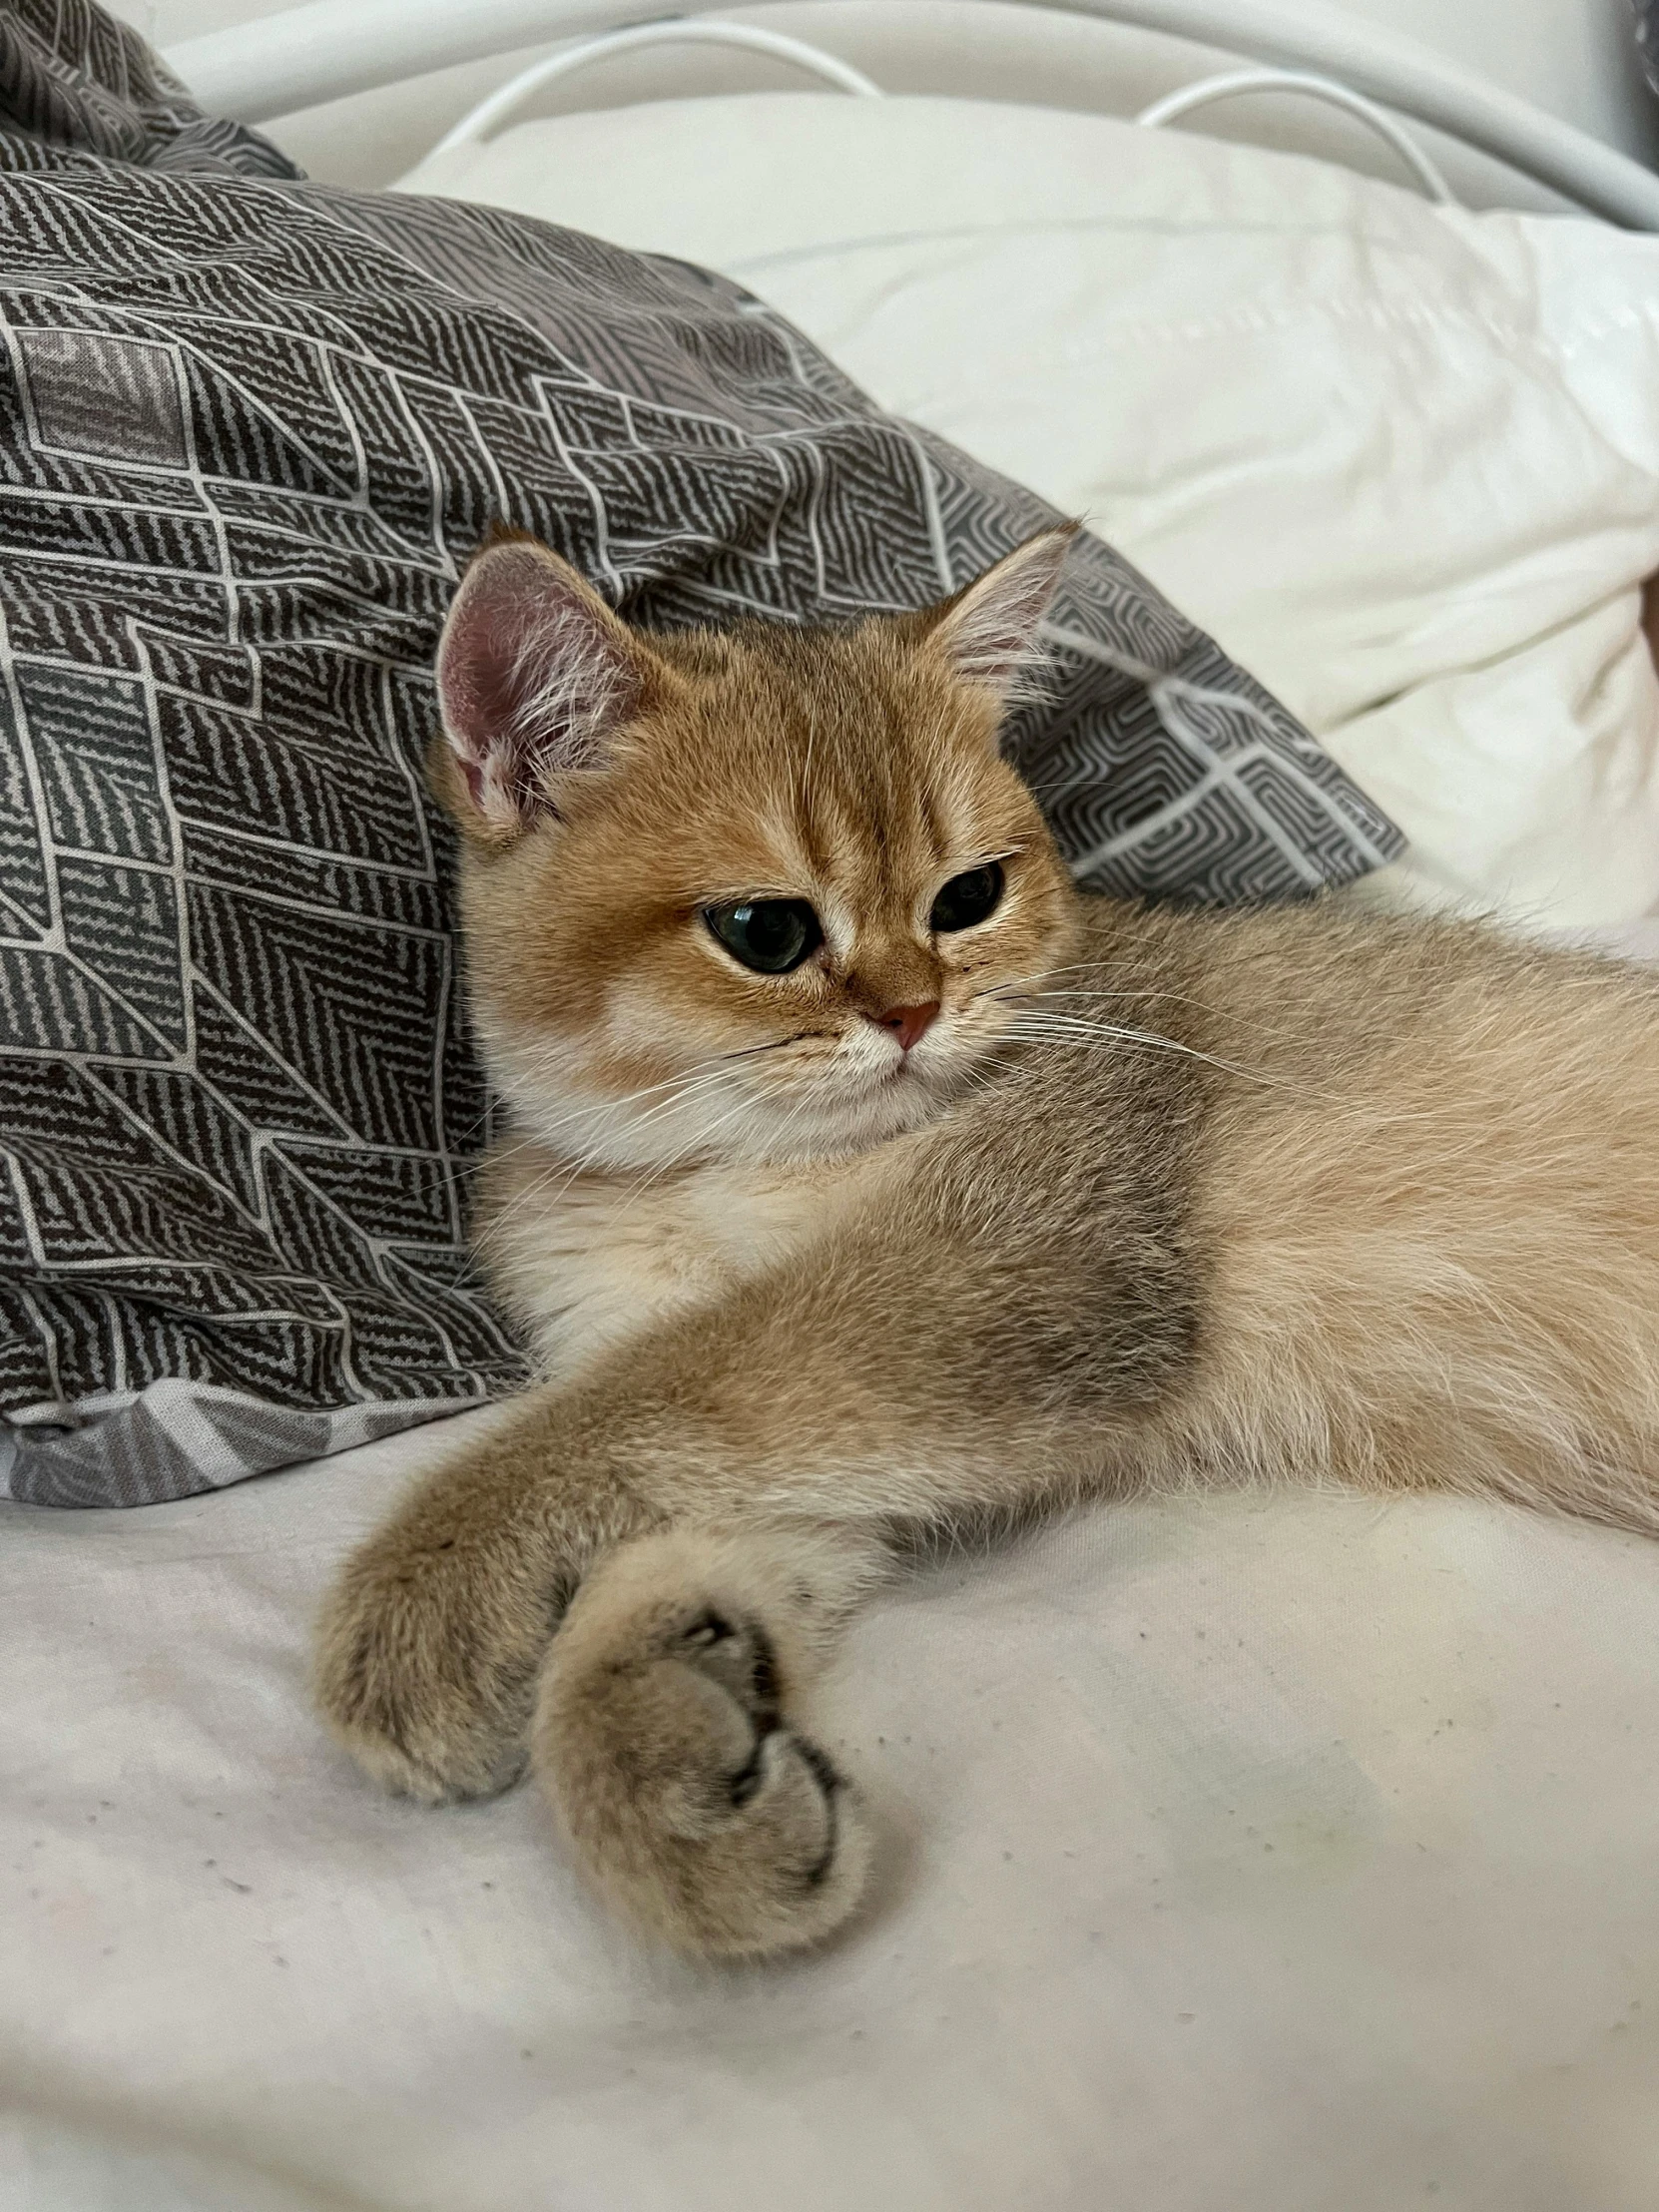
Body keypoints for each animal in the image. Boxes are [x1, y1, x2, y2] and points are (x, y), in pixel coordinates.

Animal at [318, 526, 1659, 1963]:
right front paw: (665, 1766)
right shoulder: (815, 1419)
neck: (706, 1169)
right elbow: (683, 1523)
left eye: (970, 896)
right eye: (764, 931)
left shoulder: (1007, 1275)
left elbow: (655, 1397)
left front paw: (425, 1589)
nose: (912, 1013)